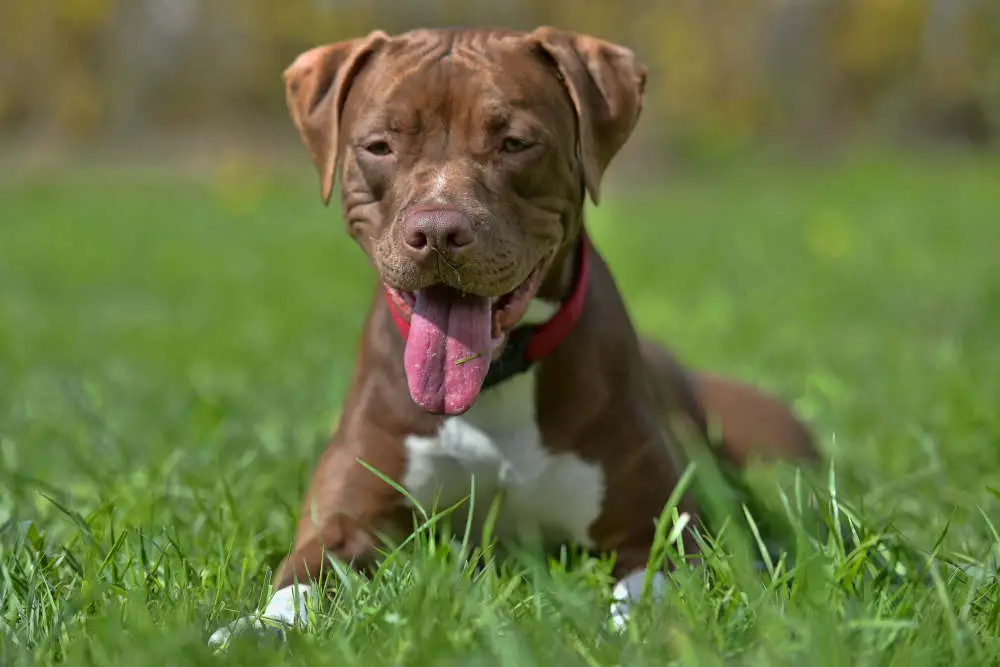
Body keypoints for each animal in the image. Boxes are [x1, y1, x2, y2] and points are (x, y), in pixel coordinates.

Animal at [207, 26, 816, 648]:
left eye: (515, 143)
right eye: (378, 146)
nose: (438, 230)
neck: (497, 382)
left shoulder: (655, 532)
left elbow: (649, 592)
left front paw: (635, 633)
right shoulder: (344, 519)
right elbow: (302, 577)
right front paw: (259, 629)